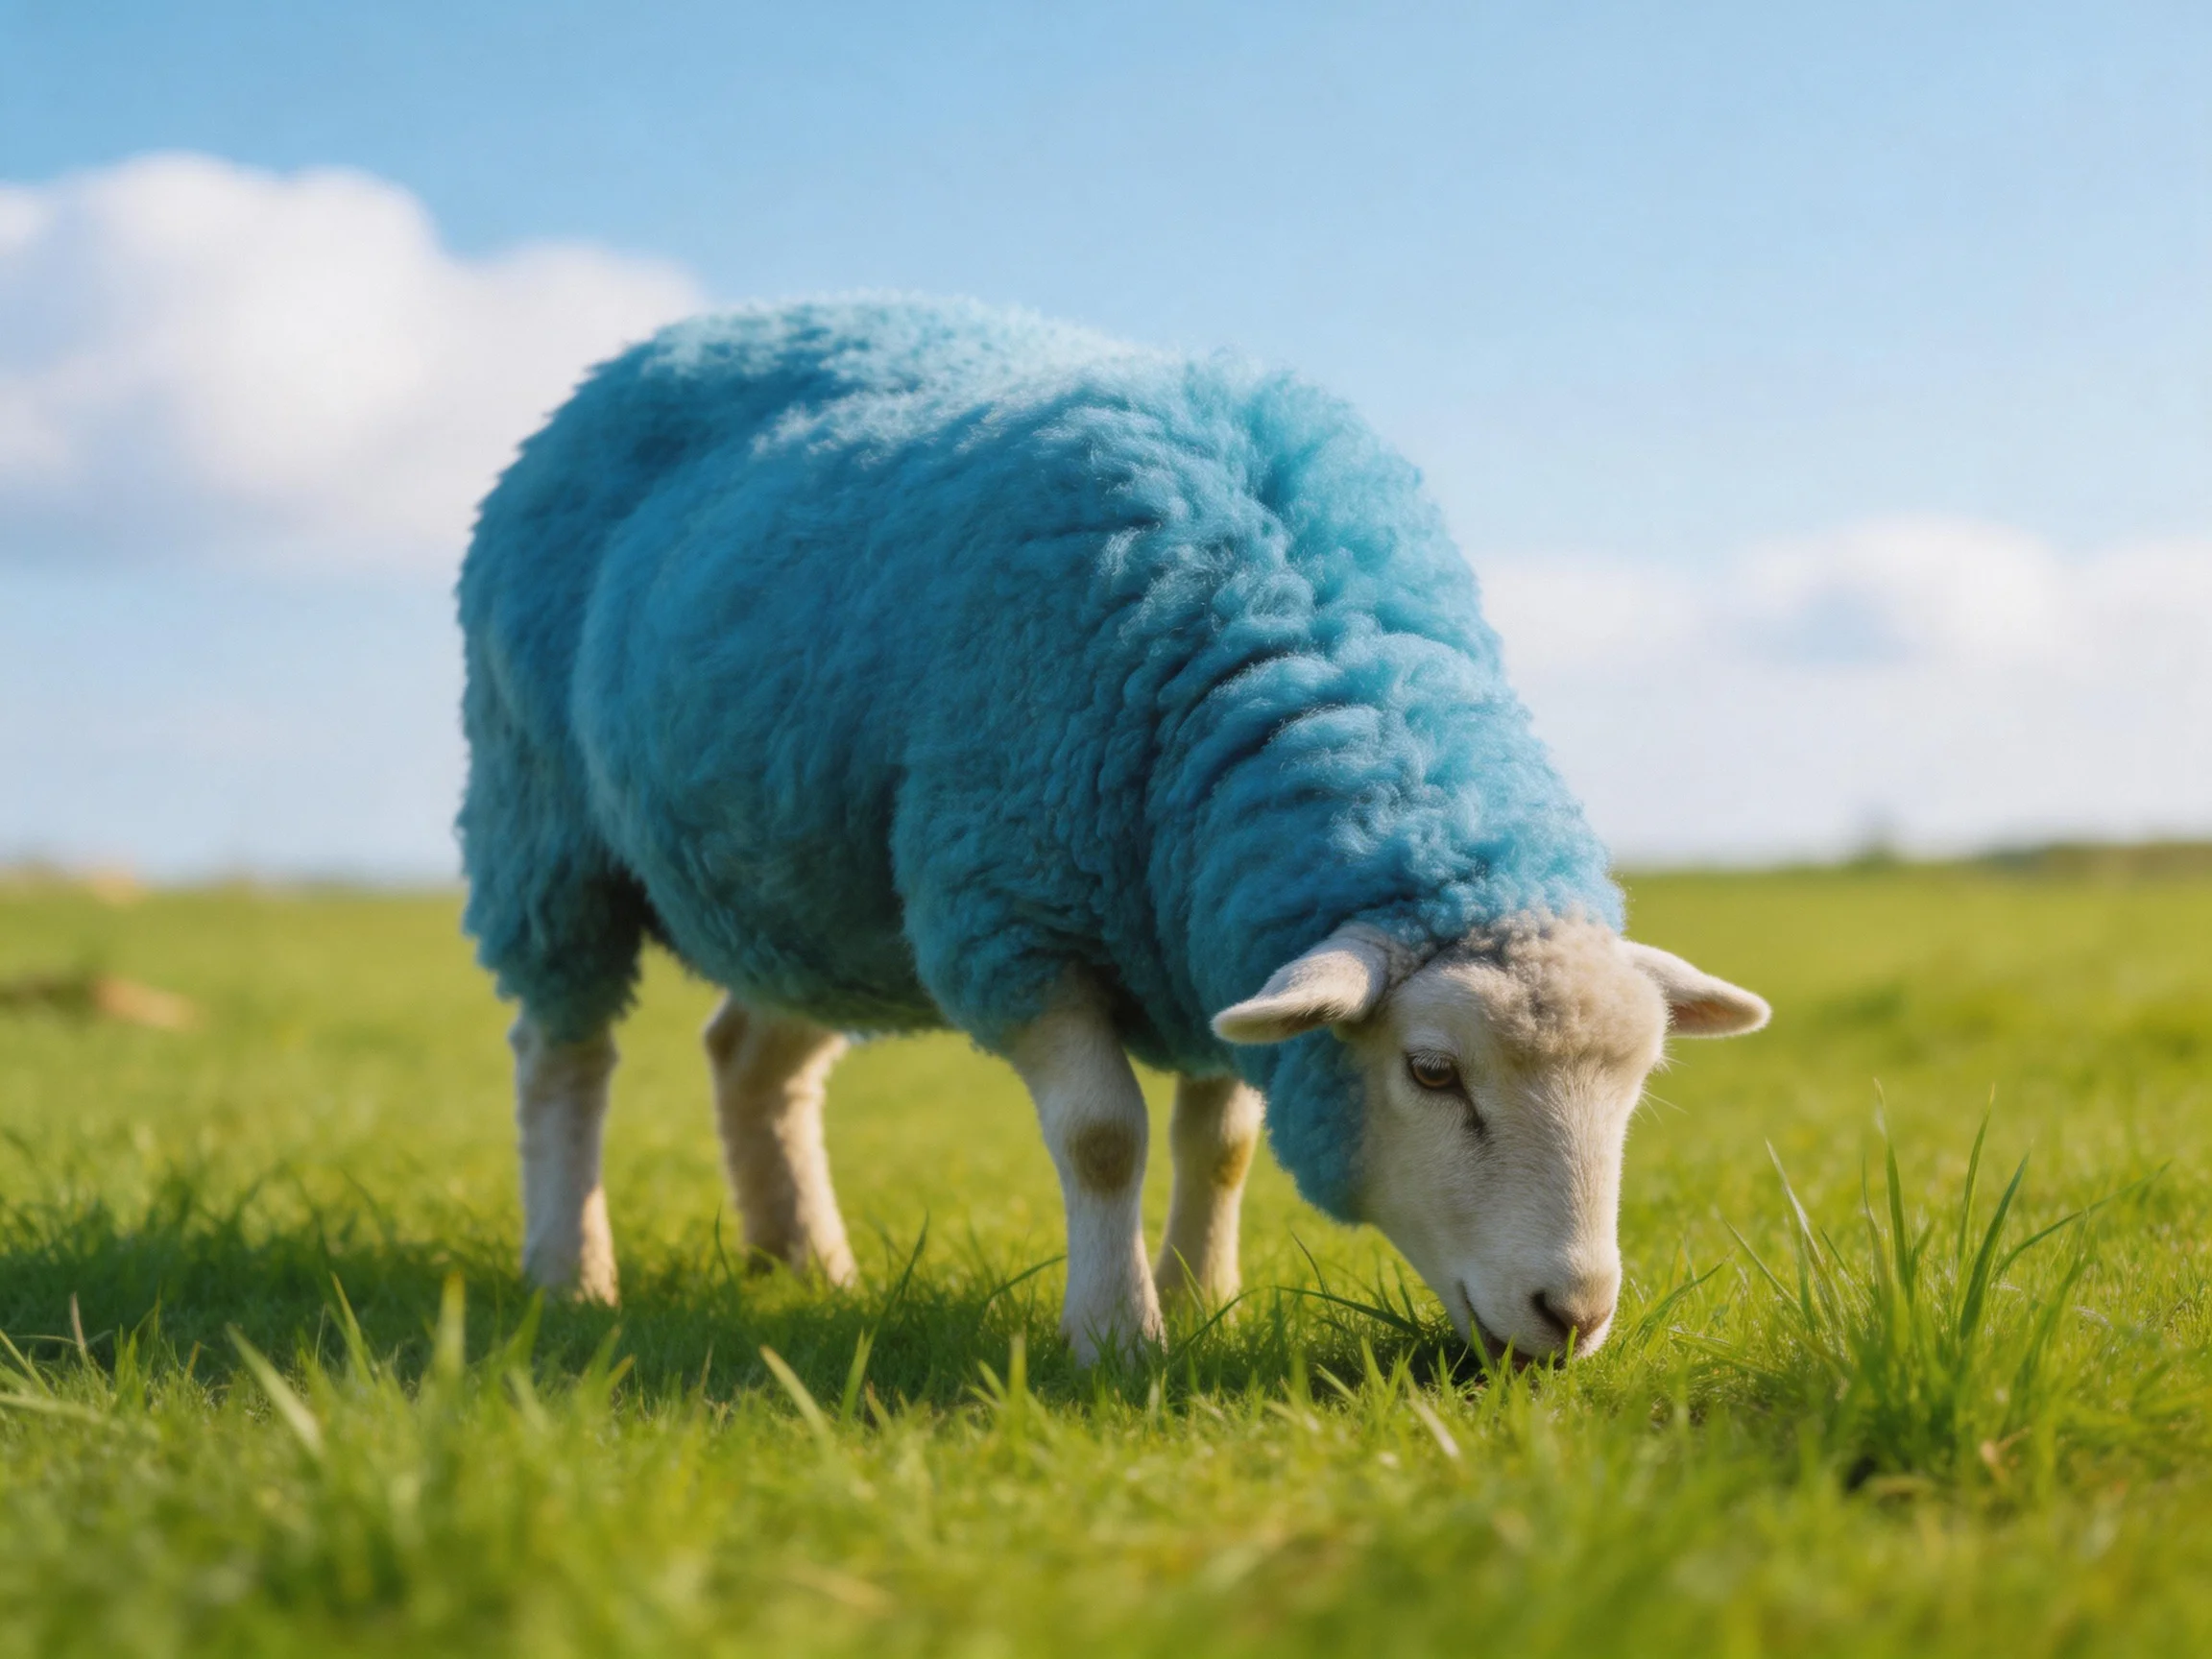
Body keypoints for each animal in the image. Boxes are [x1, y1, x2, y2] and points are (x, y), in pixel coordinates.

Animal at [457, 297, 1768, 1364]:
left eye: (1641, 1081)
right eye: (1432, 1071)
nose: (1575, 1315)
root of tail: (662, 342)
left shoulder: (1210, 930)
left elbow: (1221, 1141)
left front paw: (1204, 1301)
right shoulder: (1015, 918)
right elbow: (1102, 1137)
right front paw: (1118, 1336)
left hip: (808, 885)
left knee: (750, 1058)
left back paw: (807, 1268)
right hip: (543, 825)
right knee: (562, 1054)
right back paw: (571, 1276)